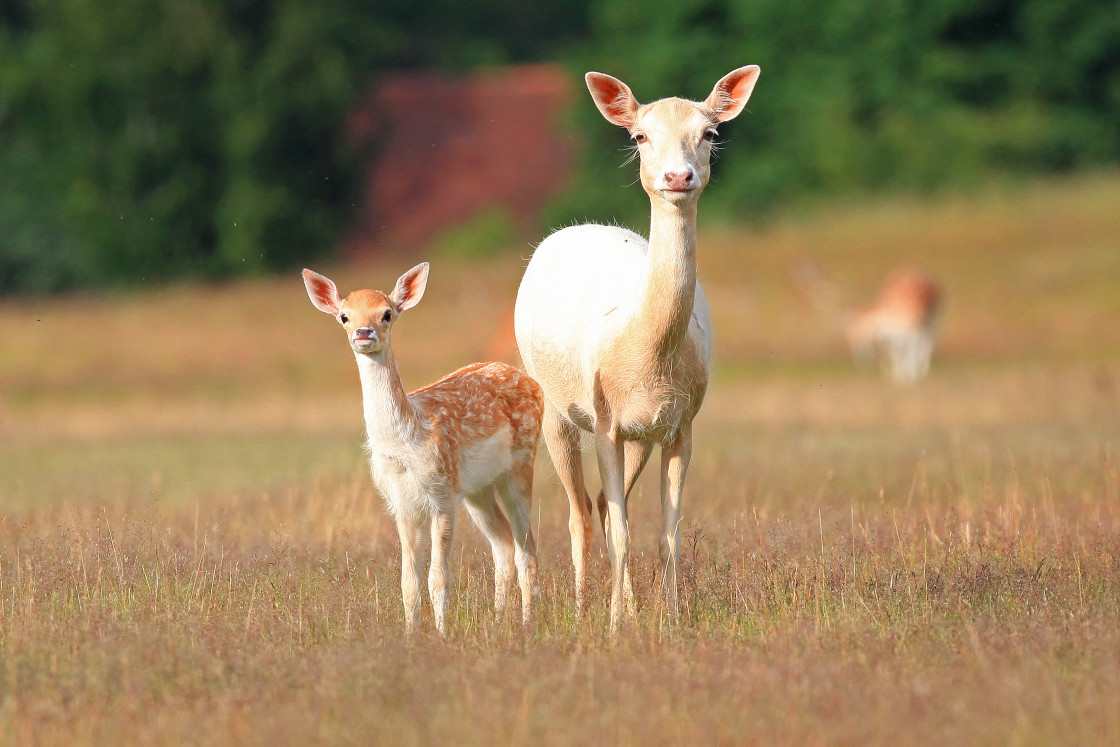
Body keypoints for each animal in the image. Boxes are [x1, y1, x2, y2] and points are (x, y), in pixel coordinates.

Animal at [300, 264, 539, 636]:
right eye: (344, 316)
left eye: (387, 313)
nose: (364, 332)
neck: (407, 445)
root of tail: (530, 381)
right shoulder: (401, 503)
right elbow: (408, 583)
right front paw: (411, 636)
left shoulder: (442, 495)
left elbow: (438, 579)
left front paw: (441, 635)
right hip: (477, 490)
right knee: (503, 545)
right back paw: (500, 620)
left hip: (522, 463)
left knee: (527, 550)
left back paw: (527, 624)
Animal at [512, 67, 761, 636]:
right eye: (641, 136)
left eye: (709, 133)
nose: (677, 176)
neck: (649, 357)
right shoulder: (605, 419)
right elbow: (622, 532)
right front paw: (611, 627)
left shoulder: (679, 423)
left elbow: (667, 534)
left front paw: (669, 619)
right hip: (554, 404)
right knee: (581, 514)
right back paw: (582, 608)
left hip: (640, 438)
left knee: (607, 506)